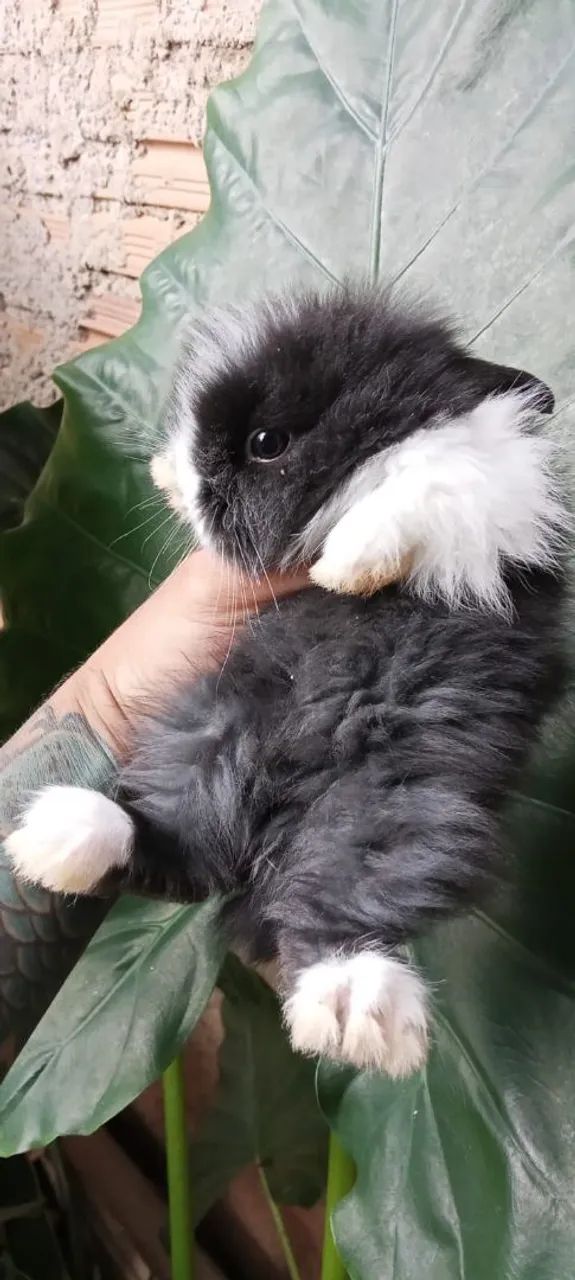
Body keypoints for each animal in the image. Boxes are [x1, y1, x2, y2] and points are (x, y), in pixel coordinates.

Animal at [7, 287, 567, 1077]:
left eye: (265, 443)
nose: (191, 483)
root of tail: (272, 831)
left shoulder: (495, 500)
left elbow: (429, 476)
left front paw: (347, 563)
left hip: (392, 802)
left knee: (338, 895)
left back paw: (352, 1000)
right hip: (207, 740)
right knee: (189, 854)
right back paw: (63, 836)